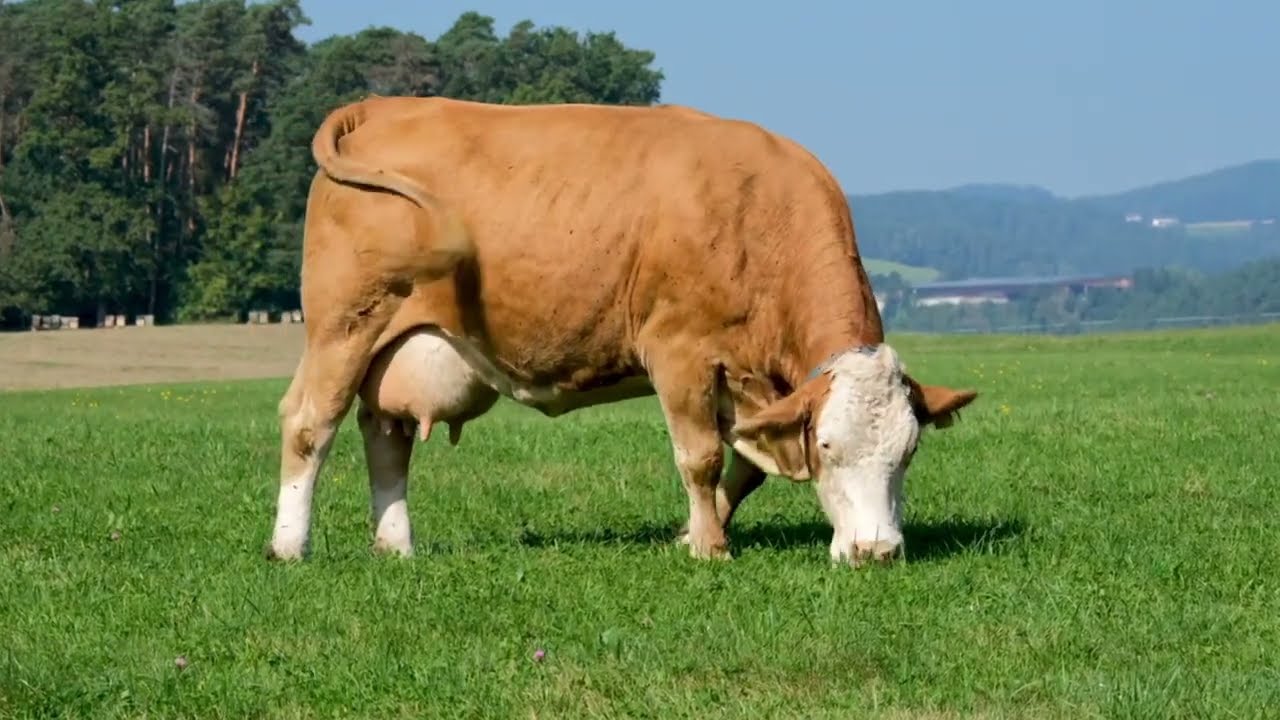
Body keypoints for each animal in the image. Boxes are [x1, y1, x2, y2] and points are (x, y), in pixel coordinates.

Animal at [266, 95, 978, 568]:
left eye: (908, 452)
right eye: (829, 447)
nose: (878, 551)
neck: (756, 214)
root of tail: (381, 106)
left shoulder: (755, 387)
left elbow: (748, 470)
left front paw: (695, 532)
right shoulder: (681, 354)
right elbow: (702, 457)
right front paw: (709, 549)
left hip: (393, 344)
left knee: (384, 435)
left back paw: (396, 545)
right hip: (343, 325)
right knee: (310, 425)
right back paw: (289, 546)